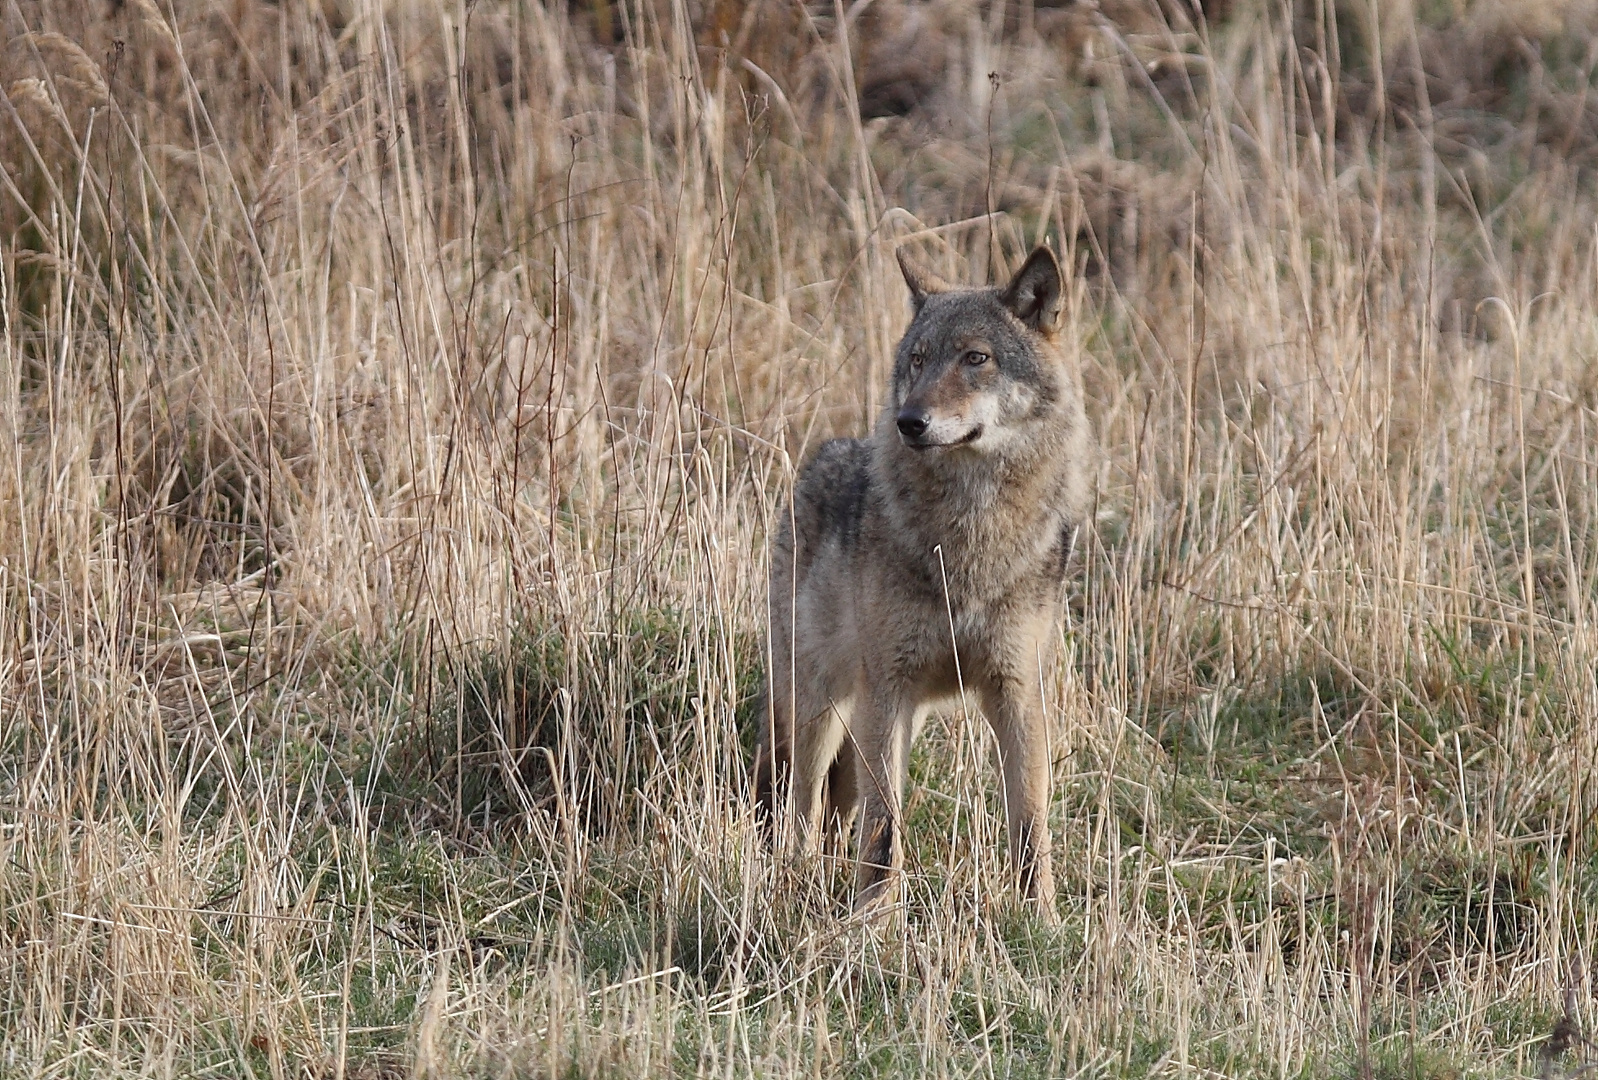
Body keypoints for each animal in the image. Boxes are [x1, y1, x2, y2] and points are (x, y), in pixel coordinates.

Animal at [754, 241, 1093, 913]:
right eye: (917, 359)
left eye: (976, 358)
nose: (910, 421)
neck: (970, 536)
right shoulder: (890, 687)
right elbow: (884, 827)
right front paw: (873, 919)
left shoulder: (1017, 690)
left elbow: (1030, 824)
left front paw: (1040, 916)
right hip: (823, 704)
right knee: (804, 805)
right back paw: (793, 880)